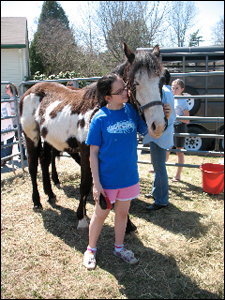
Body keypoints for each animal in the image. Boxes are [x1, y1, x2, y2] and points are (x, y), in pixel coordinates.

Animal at [19, 42, 167, 230]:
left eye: (162, 80)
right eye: (136, 83)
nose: (159, 125)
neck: (99, 108)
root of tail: (30, 90)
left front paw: (127, 224)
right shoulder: (87, 153)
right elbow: (86, 184)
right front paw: (81, 217)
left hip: (49, 140)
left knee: (45, 161)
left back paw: (50, 194)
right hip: (31, 137)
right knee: (32, 166)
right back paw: (37, 202)